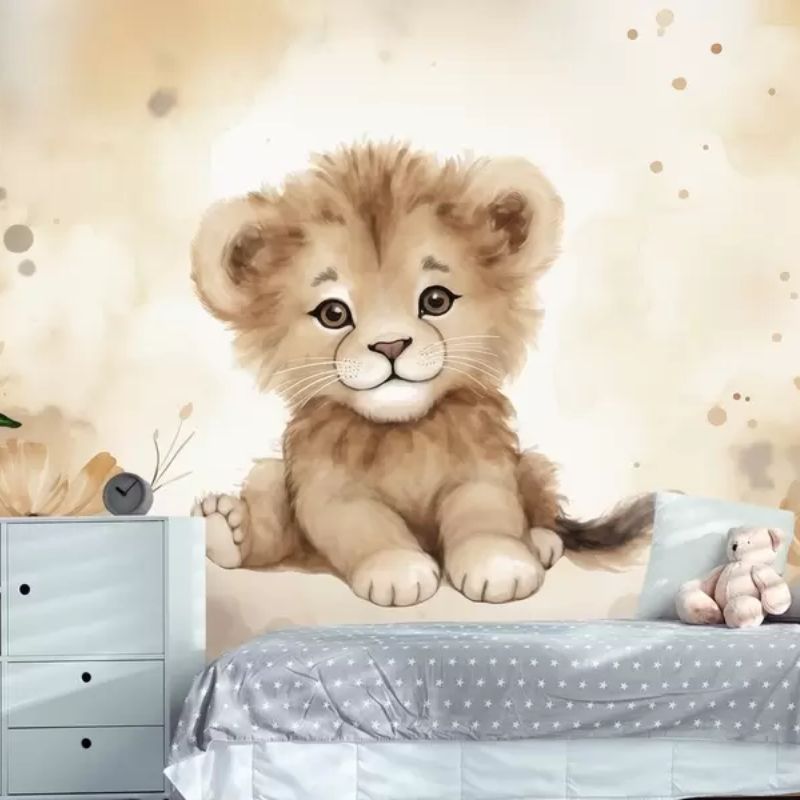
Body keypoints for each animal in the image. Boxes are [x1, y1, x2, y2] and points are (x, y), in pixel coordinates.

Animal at [190, 141, 652, 606]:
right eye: (333, 314)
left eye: (435, 300)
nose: (390, 345)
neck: (403, 432)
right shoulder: (331, 490)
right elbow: (366, 527)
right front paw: (398, 570)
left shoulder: (482, 469)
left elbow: (486, 515)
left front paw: (500, 566)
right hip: (271, 478)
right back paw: (224, 528)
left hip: (533, 465)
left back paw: (540, 542)